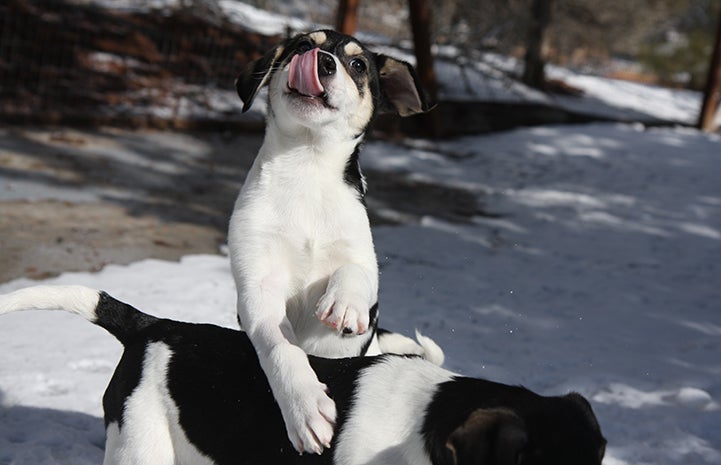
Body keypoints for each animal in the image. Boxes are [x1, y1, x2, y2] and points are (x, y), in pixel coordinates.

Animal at [231, 29, 434, 454]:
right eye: (302, 47)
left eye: (357, 64)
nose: (321, 61)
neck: (307, 164)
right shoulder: (258, 285)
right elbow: (280, 346)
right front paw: (305, 407)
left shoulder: (363, 258)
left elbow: (353, 272)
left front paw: (343, 304)